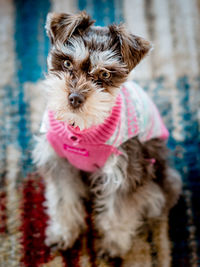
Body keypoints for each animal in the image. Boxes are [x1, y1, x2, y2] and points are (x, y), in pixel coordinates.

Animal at [33, 11, 183, 260]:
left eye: (104, 73)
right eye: (67, 62)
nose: (75, 98)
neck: (81, 128)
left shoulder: (124, 174)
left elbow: (118, 213)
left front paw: (113, 246)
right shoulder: (60, 164)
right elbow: (63, 201)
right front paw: (63, 233)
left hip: (159, 185)